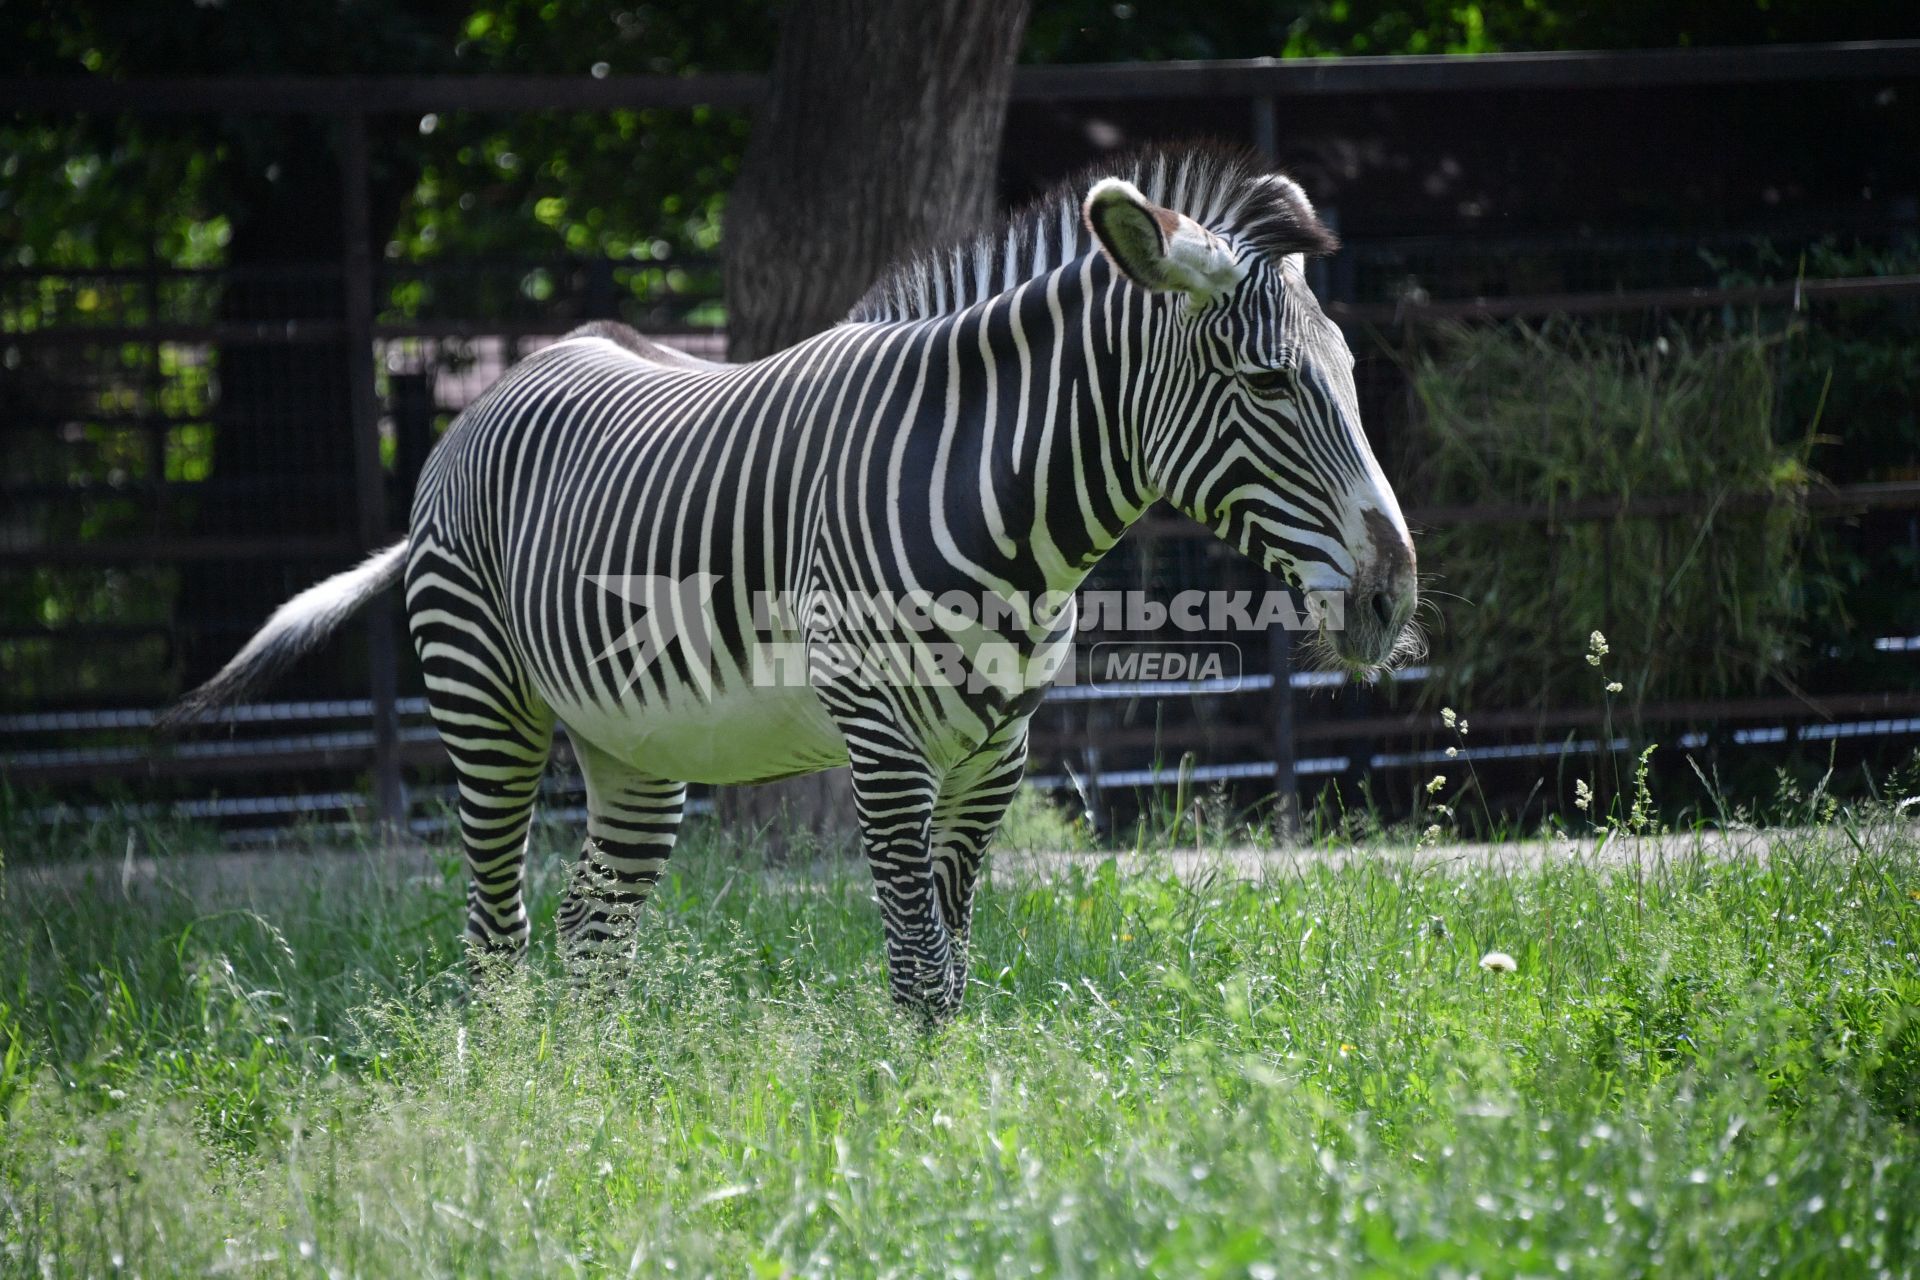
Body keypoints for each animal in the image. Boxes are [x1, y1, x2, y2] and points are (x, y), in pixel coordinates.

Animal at [172, 144, 1420, 1013]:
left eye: (1352, 371)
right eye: (1268, 382)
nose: (1390, 598)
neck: (1000, 507)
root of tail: (495, 391)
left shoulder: (996, 752)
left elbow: (954, 965)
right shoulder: (882, 735)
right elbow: (917, 967)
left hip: (635, 744)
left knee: (591, 924)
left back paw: (600, 1106)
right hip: (486, 699)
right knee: (496, 930)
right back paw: (519, 1105)